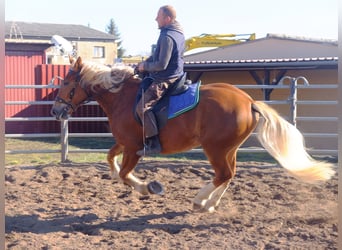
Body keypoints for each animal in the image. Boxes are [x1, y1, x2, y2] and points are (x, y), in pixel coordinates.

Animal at [50, 56, 334, 213]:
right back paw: (208, 204)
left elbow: (124, 174)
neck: (122, 97)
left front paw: (148, 187)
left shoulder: (133, 147)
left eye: (67, 83)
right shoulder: (124, 143)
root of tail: (248, 101)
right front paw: (122, 175)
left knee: (223, 175)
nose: (55, 110)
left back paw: (200, 201)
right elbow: (110, 159)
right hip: (228, 149)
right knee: (228, 175)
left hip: (215, 148)